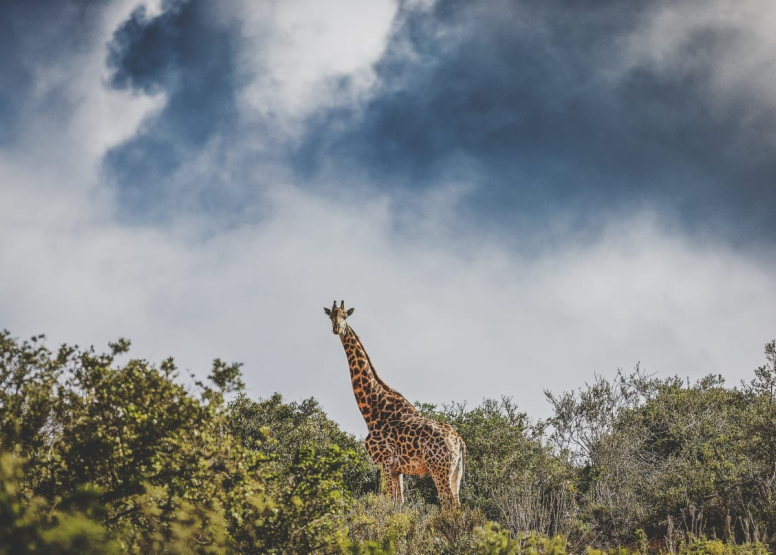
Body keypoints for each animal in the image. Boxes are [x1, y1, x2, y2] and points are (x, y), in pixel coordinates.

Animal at [323, 300, 466, 507]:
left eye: (345, 316)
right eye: (331, 316)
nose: (336, 328)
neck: (371, 410)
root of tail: (459, 441)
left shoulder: (384, 462)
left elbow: (387, 501)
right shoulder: (397, 469)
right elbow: (399, 503)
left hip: (439, 469)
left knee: (448, 505)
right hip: (456, 472)